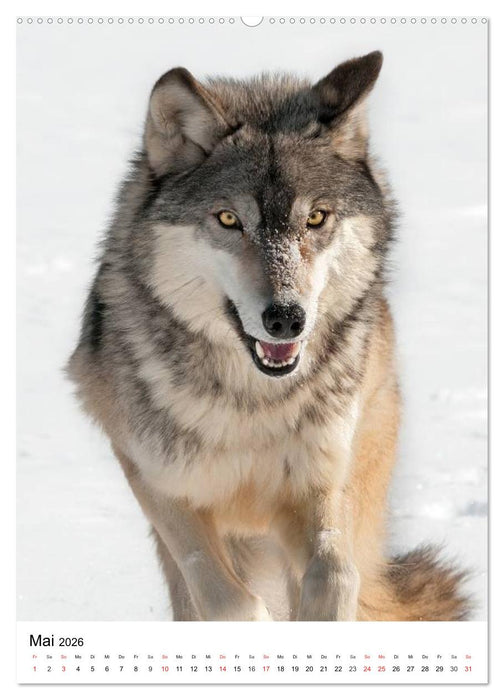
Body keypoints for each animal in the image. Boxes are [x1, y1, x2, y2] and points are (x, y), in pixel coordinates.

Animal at [67, 51, 469, 621]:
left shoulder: (316, 485)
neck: (251, 405)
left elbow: (336, 575)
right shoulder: (160, 485)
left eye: (316, 217)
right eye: (228, 219)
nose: (286, 318)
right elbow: (227, 600)